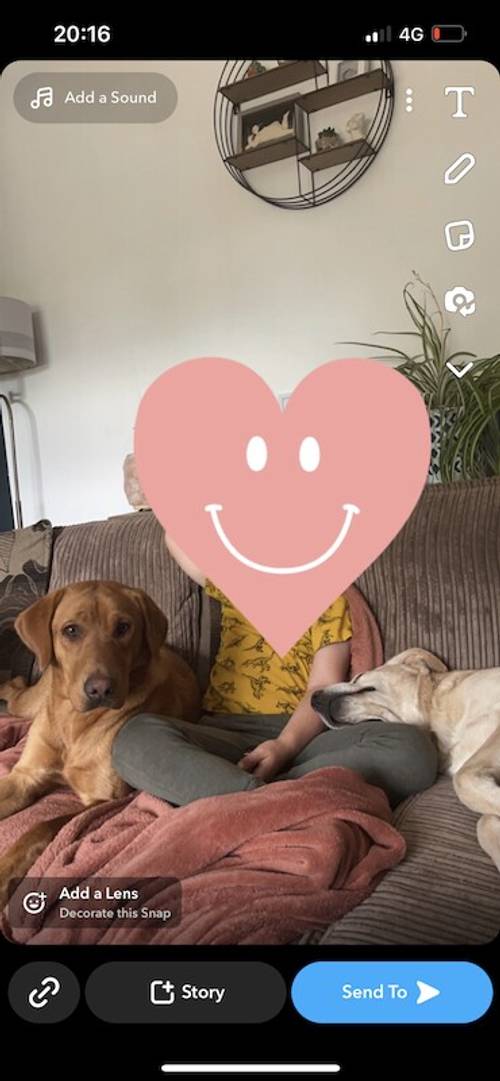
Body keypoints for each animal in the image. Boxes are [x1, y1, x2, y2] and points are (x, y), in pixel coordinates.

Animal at [0, 583, 201, 903]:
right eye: (71, 630)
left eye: (123, 627)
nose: (100, 689)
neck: (73, 722)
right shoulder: (25, 776)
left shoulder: (103, 800)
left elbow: (44, 826)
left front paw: (5, 872)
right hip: (28, 705)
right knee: (14, 692)